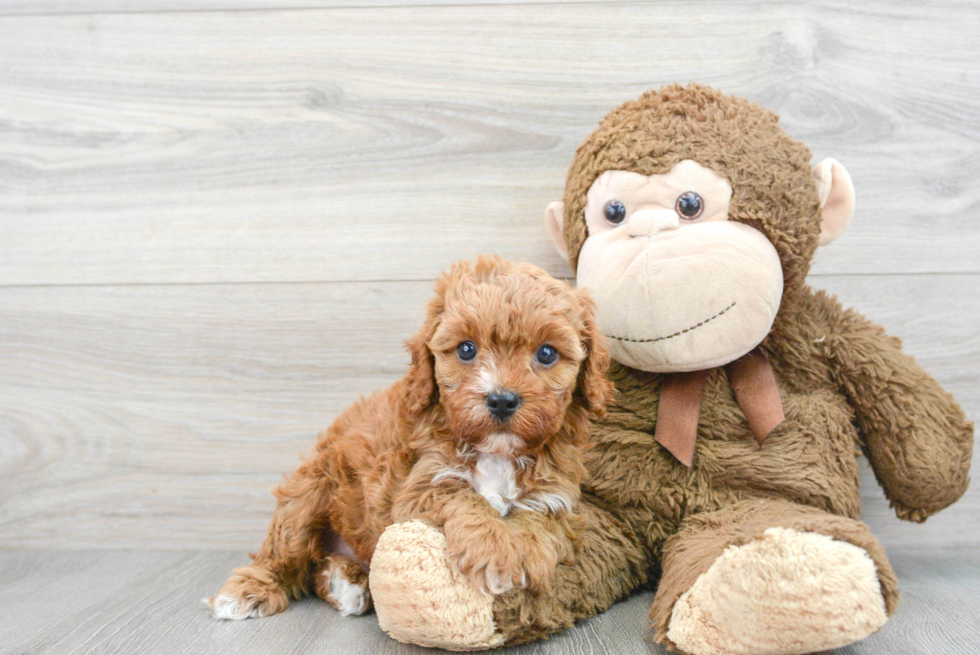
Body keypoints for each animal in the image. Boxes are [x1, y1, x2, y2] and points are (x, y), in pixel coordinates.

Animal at [205, 255, 612, 620]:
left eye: (547, 353)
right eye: (466, 349)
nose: (501, 399)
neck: (497, 453)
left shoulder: (558, 495)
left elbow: (539, 519)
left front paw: (524, 554)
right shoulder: (420, 487)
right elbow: (467, 499)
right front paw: (495, 552)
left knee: (317, 568)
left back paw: (345, 583)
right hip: (310, 491)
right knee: (284, 553)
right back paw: (249, 591)